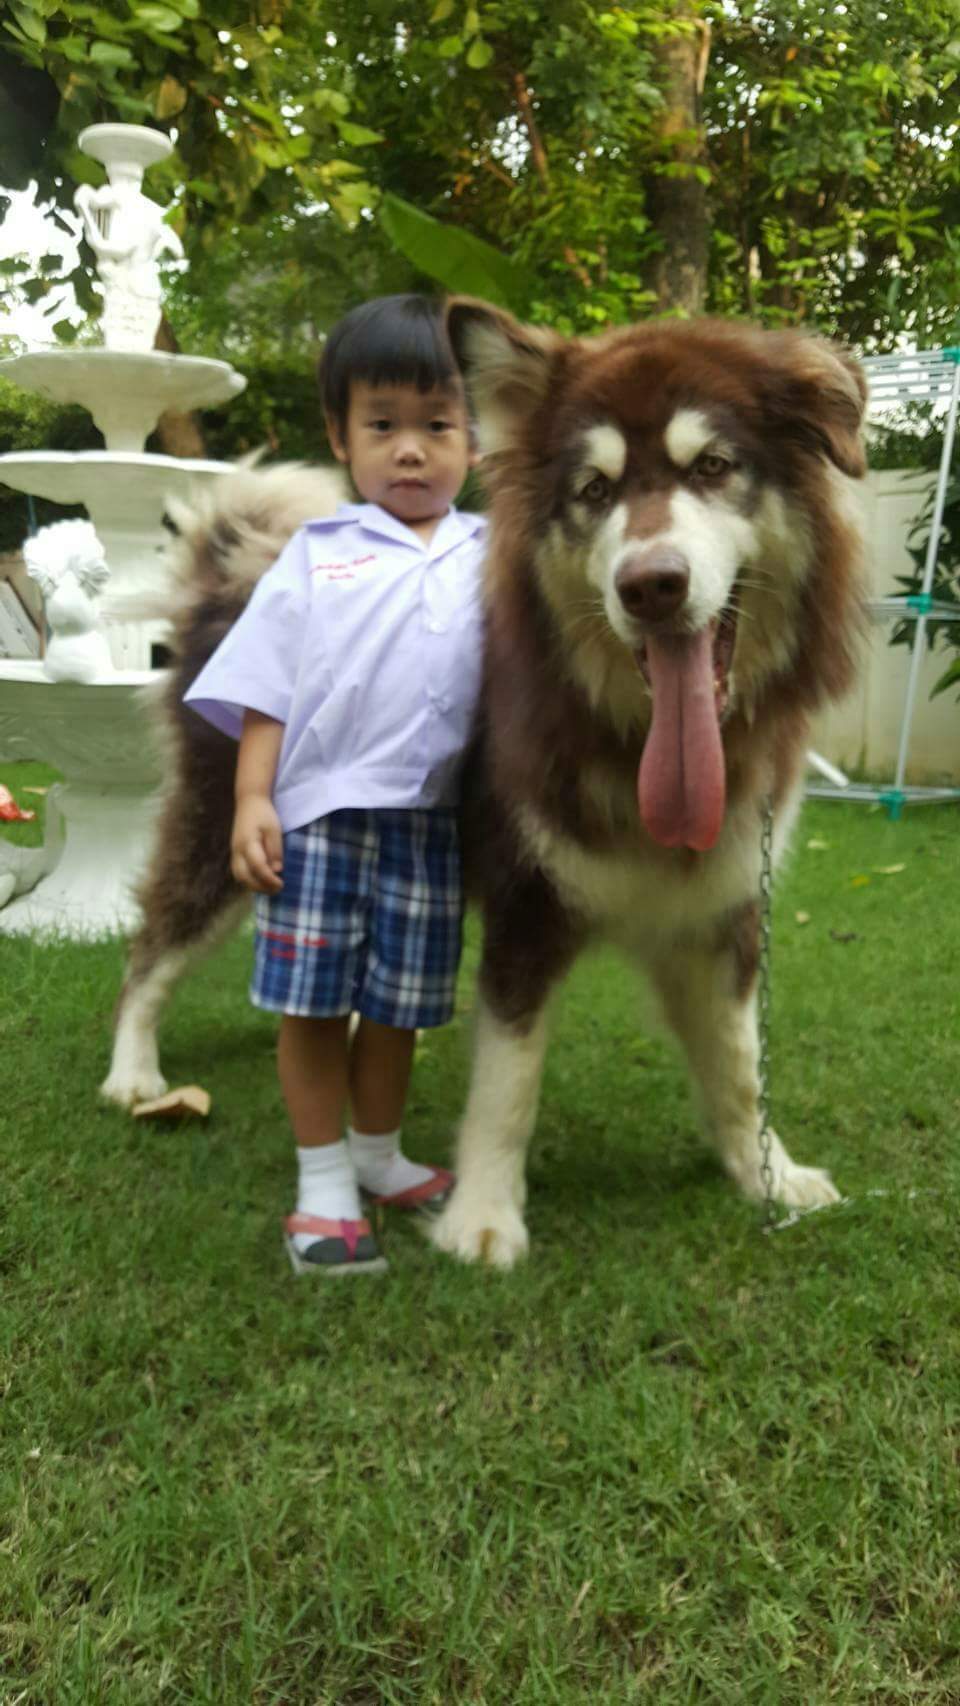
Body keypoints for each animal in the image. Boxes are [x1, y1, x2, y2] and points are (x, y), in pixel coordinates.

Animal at [102, 301, 867, 1268]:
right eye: (593, 490)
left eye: (714, 467)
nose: (651, 587)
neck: (625, 736)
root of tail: (236, 579)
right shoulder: (526, 907)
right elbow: (509, 1079)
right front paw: (484, 1217)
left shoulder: (717, 911)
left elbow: (738, 1066)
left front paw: (766, 1173)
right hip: (226, 840)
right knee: (151, 951)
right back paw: (134, 1073)